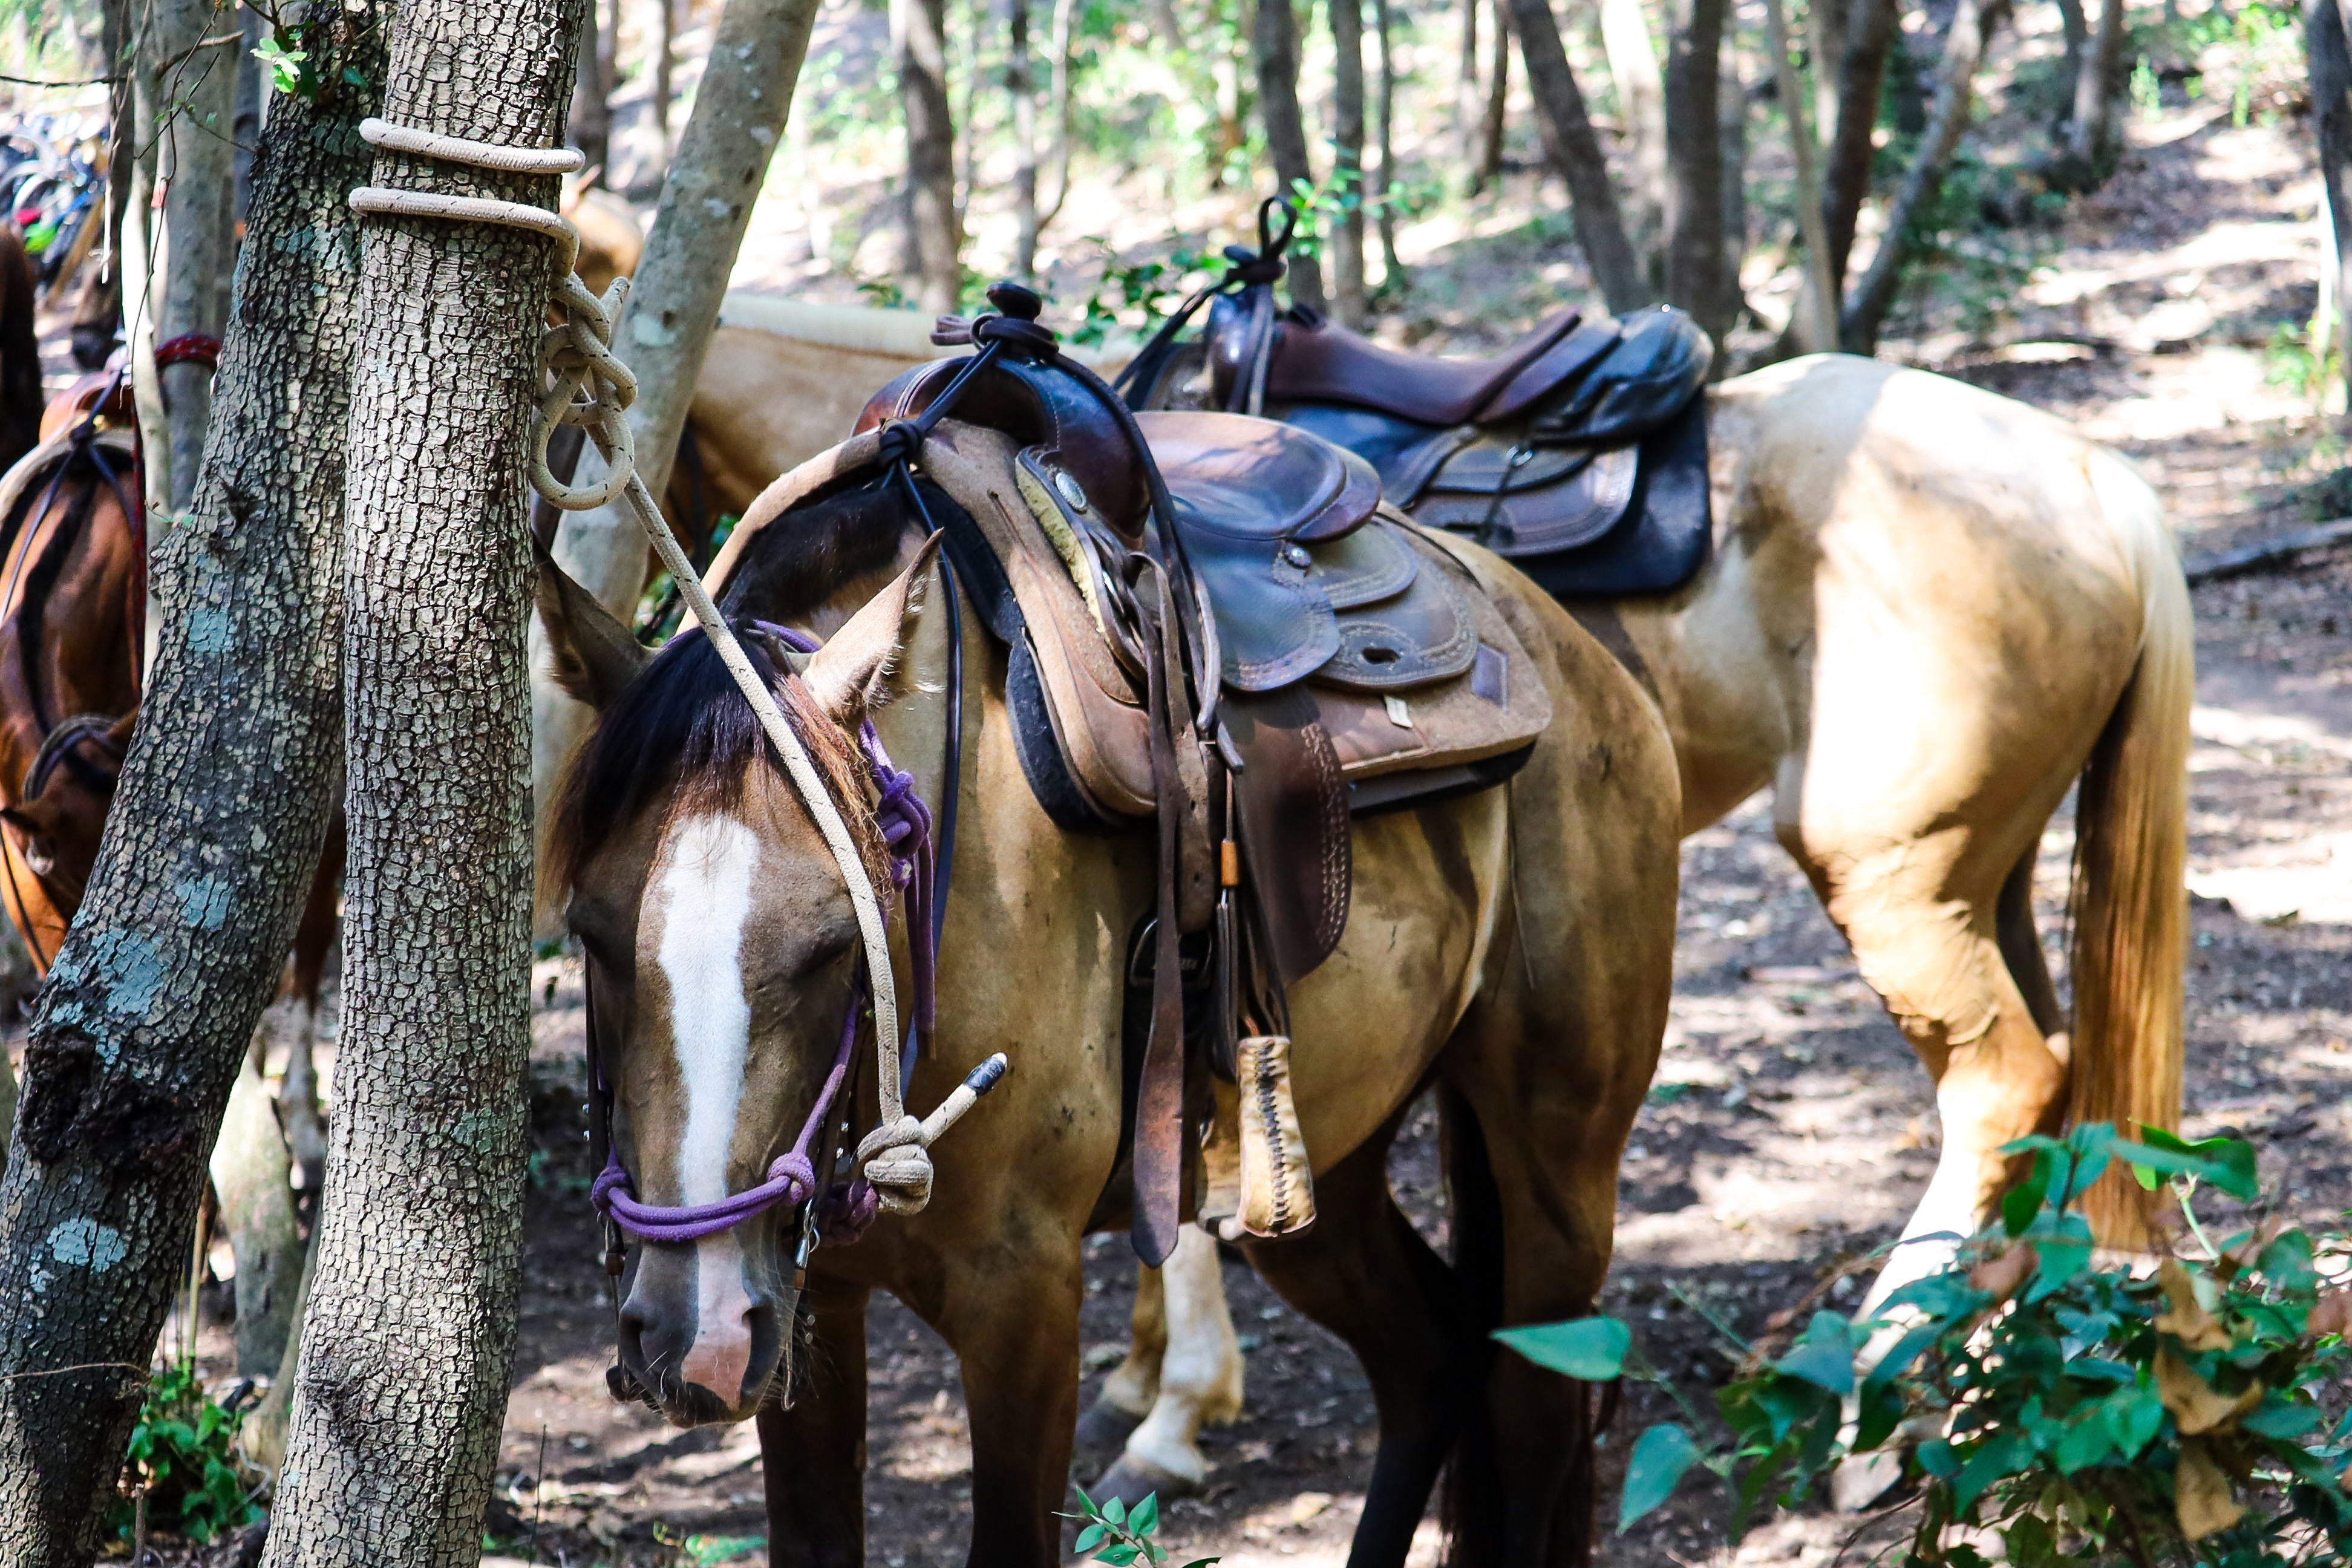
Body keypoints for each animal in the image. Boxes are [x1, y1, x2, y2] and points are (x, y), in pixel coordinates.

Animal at [541, 433, 1684, 1568]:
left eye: (832, 942)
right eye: (593, 933)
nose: (697, 1334)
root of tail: (1574, 653)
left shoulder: (1024, 1304)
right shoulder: (808, 1302)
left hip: (1558, 1161)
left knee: (1535, 1401)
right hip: (1314, 1172)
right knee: (1431, 1361)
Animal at [1077, 350, 2183, 1504]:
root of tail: (2095, 481)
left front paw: (1175, 1410)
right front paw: (1144, 1374)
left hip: (1893, 880)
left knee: (2003, 1083)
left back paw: (1872, 1401)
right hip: (1985, 870)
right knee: (2053, 1071)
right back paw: (1977, 1364)